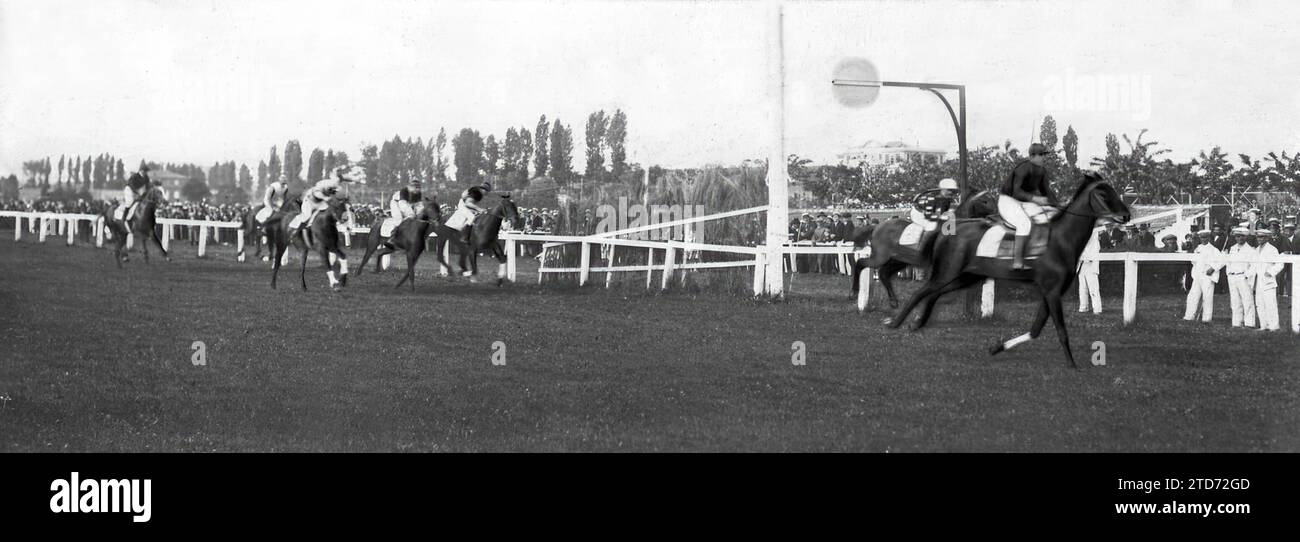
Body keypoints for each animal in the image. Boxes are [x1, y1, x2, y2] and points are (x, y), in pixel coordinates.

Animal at [847, 188, 998, 308]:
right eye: (984, 201)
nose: (997, 215)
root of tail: (877, 227)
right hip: (880, 256)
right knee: (861, 264)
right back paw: (853, 292)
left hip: (900, 260)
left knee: (884, 273)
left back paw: (893, 301)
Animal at [883, 172, 1128, 366]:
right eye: (1103, 194)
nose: (1126, 215)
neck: (1061, 240)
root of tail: (948, 229)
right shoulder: (1051, 291)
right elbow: (1061, 330)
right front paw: (1072, 364)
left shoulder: (1051, 291)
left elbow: (1036, 329)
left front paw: (997, 347)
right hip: (947, 271)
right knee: (920, 292)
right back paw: (896, 322)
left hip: (968, 276)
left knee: (934, 293)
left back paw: (917, 322)